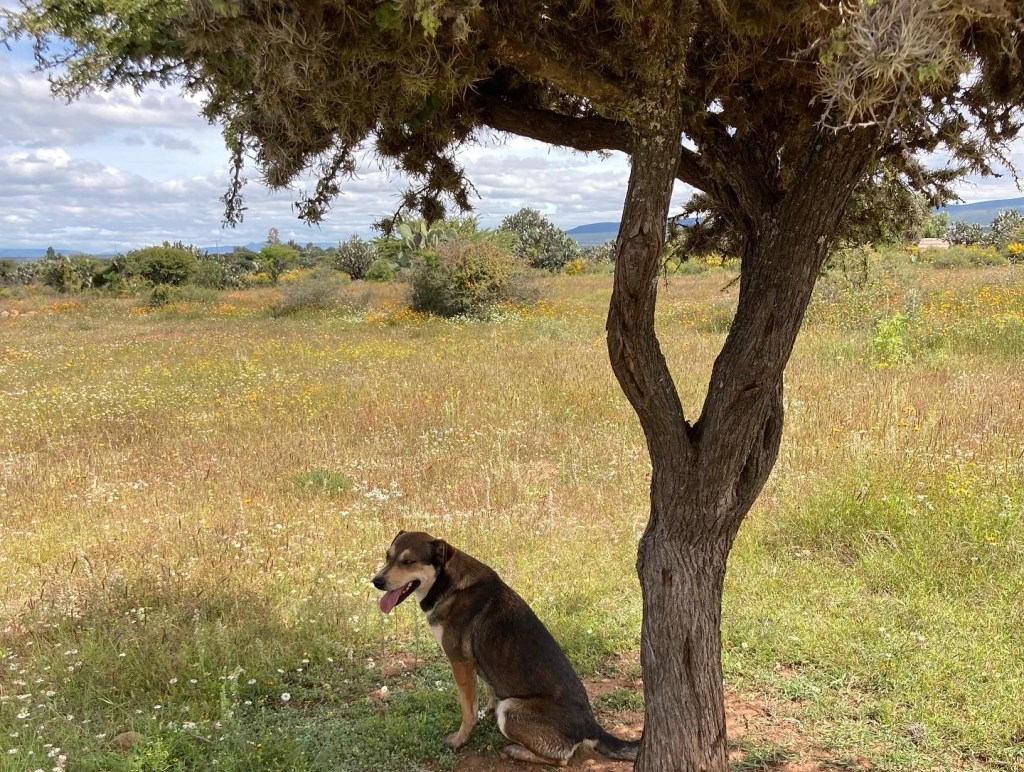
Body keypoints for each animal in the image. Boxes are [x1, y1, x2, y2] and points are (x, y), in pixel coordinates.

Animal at [372, 530, 639, 766]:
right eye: (387, 556)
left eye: (408, 561)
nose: (376, 581)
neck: (446, 582)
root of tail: (592, 726)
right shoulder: (479, 664)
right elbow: (488, 691)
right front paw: (485, 712)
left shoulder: (460, 662)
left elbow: (467, 710)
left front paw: (460, 740)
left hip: (510, 710)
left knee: (561, 759)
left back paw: (516, 751)